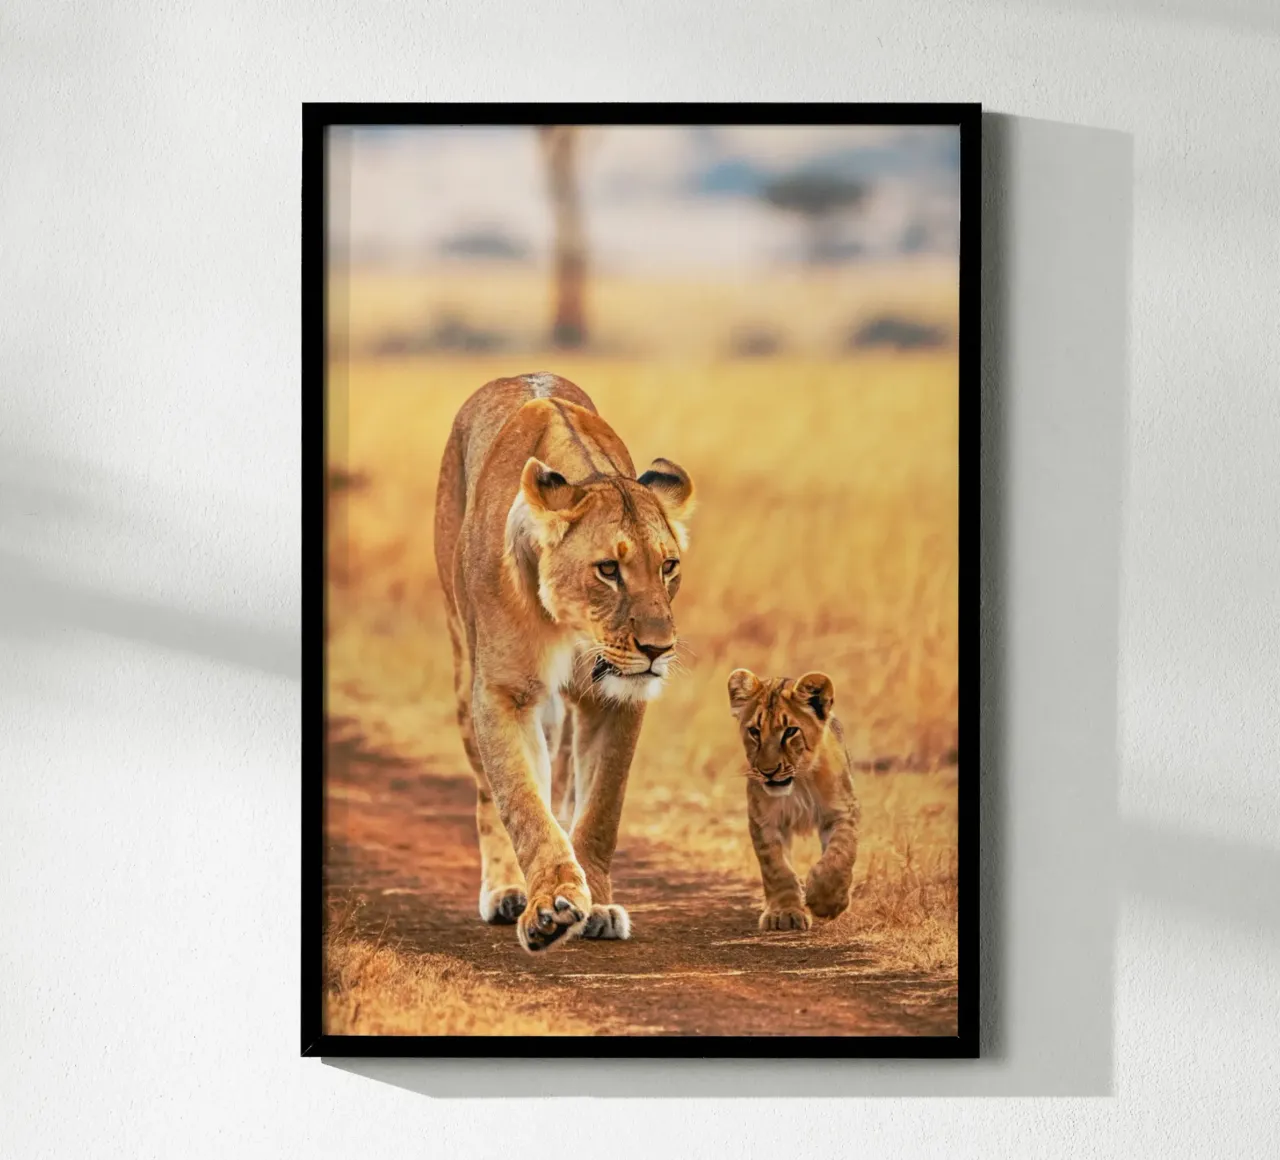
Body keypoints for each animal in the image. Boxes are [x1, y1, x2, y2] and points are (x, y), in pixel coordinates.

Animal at [433, 372, 694, 953]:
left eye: (668, 566)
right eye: (608, 570)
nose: (658, 649)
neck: (571, 629)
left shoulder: (614, 700)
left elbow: (599, 809)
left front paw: (593, 903)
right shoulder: (502, 691)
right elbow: (521, 801)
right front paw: (550, 906)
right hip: (462, 668)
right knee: (489, 793)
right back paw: (506, 891)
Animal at [726, 668, 861, 931]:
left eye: (790, 731)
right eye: (754, 732)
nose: (768, 772)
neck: (799, 783)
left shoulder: (842, 812)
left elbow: (839, 854)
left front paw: (826, 902)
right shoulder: (764, 820)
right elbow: (777, 868)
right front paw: (785, 913)